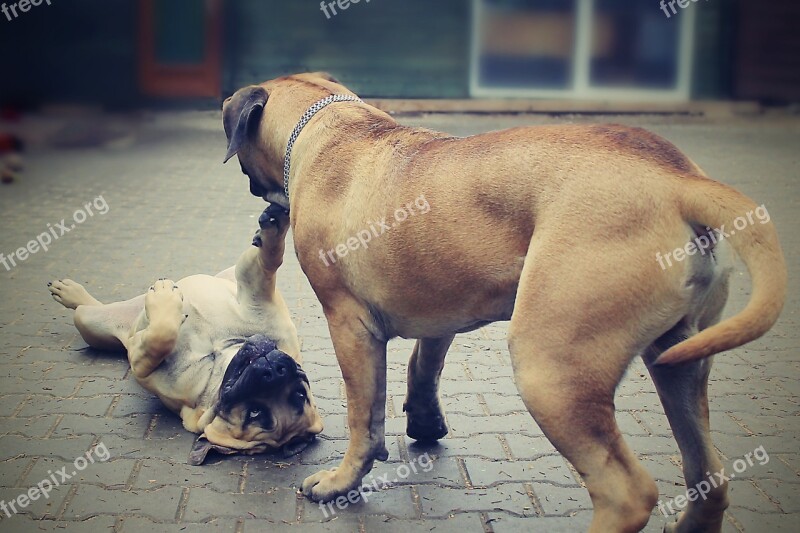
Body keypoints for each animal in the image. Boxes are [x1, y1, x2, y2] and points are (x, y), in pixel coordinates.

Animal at [222, 71, 784, 532]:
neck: (332, 127)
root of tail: (678, 180)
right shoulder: (440, 300)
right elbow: (423, 364)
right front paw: (424, 421)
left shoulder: (349, 324)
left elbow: (364, 414)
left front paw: (343, 481)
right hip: (679, 362)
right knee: (708, 475)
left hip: (549, 368)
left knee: (627, 493)